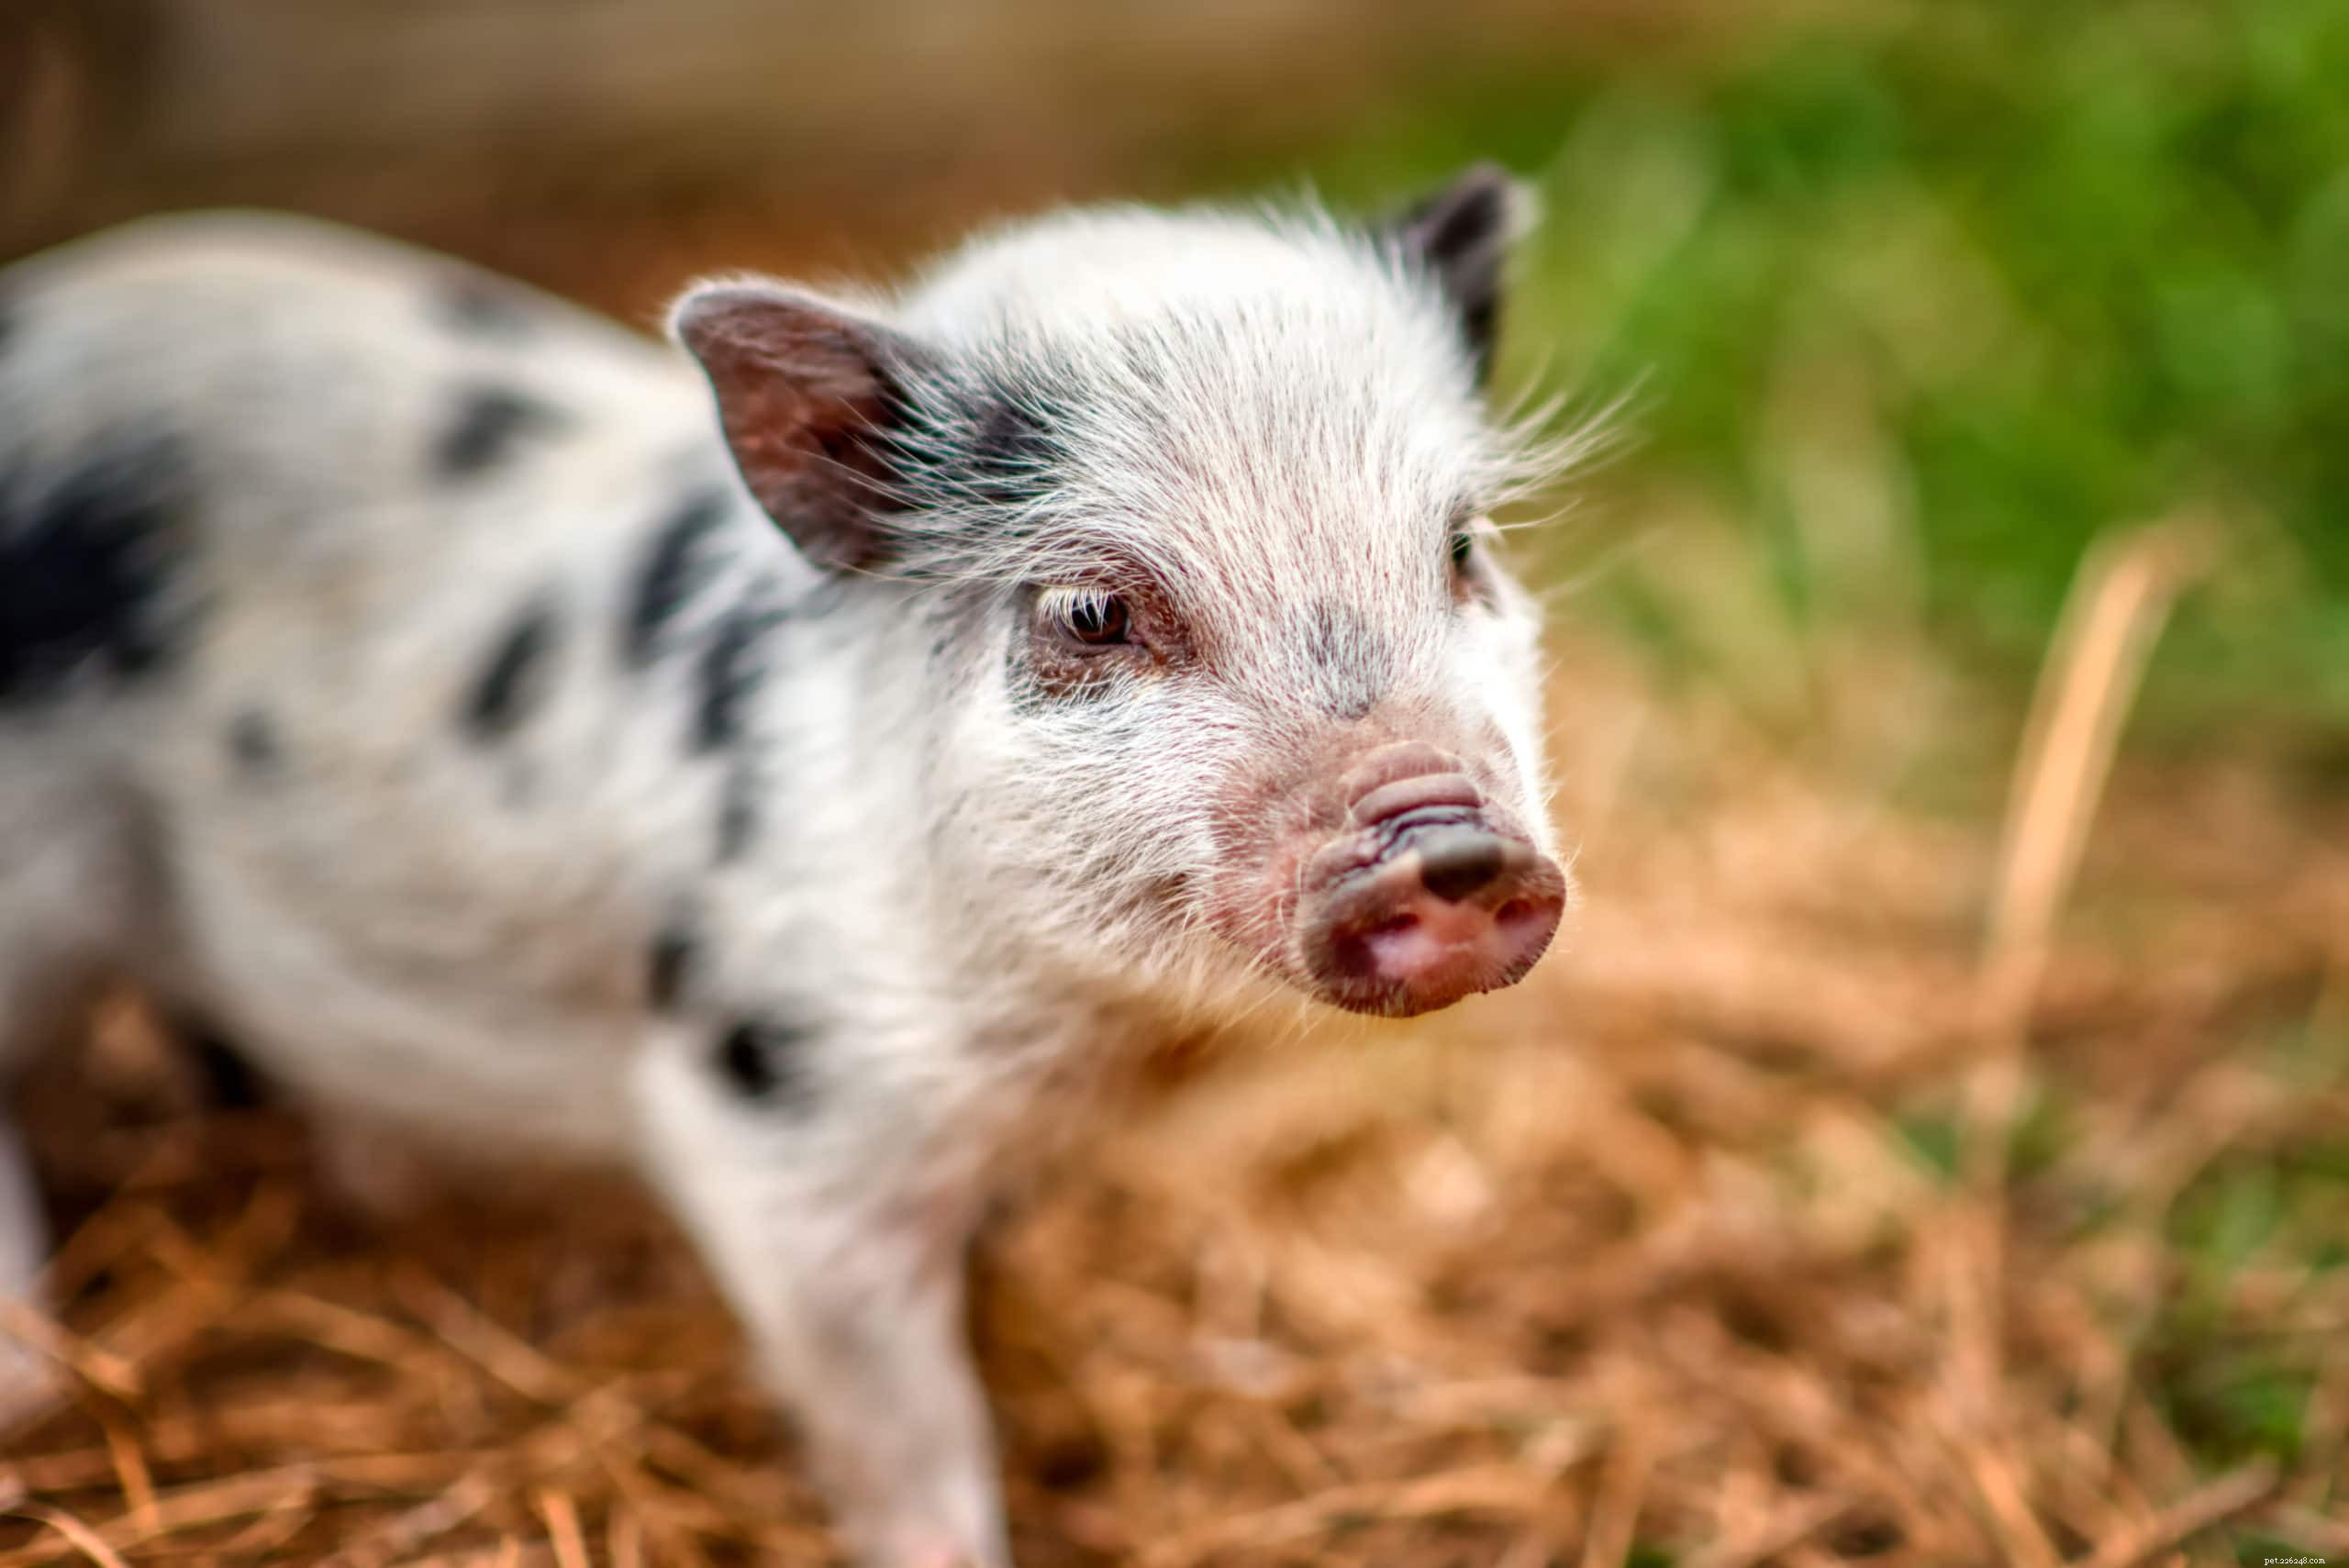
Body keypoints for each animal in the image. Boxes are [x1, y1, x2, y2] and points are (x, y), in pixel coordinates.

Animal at [0, 167, 1571, 1566]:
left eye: (1461, 546)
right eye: (1092, 609)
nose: (1445, 835)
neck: (1074, 1043)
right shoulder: (775, 1119)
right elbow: (904, 1429)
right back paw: (34, 1382)